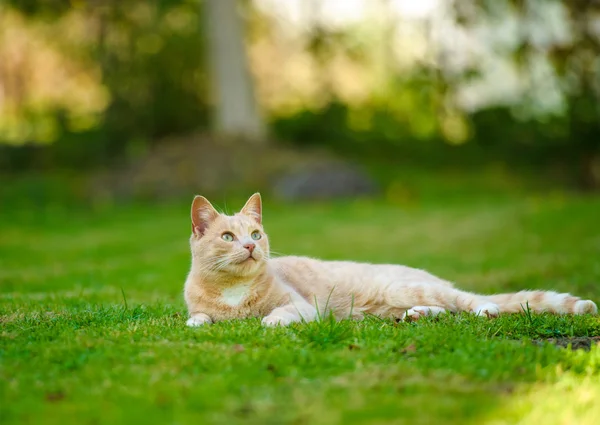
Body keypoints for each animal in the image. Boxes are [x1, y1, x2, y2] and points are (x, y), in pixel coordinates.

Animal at [185, 192, 596, 324]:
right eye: (228, 237)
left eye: (255, 235)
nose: (250, 247)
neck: (235, 291)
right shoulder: (200, 308)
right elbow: (199, 318)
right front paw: (199, 322)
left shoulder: (303, 306)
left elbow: (278, 315)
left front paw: (269, 321)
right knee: (444, 308)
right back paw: (418, 316)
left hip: (404, 288)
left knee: (470, 301)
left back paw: (483, 310)